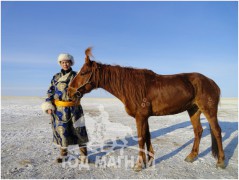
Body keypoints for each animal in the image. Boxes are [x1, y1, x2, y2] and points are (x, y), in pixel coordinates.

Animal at [67, 47, 224, 171]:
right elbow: (147, 136)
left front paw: (138, 165)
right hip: (193, 110)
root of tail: (212, 82)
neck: (132, 86)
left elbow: (141, 138)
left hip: (209, 110)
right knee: (198, 131)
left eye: (83, 72)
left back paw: (221, 161)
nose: (69, 92)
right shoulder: (145, 117)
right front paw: (149, 160)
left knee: (216, 131)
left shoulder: (140, 117)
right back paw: (191, 156)